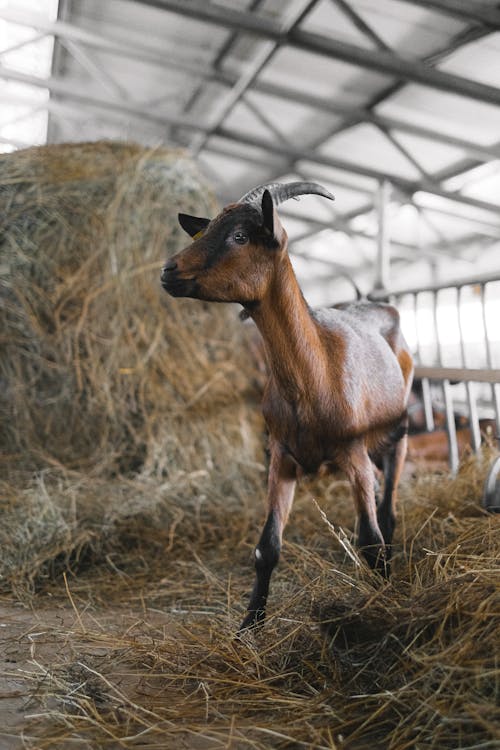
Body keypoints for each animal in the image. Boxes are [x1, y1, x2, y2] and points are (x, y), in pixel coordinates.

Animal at [161, 184, 414, 636]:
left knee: (387, 511)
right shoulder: (280, 456)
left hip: (397, 431)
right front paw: (249, 625)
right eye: (206, 229)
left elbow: (370, 539)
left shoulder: (353, 454)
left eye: (240, 236)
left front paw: (382, 600)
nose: (168, 270)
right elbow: (267, 548)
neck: (316, 371)